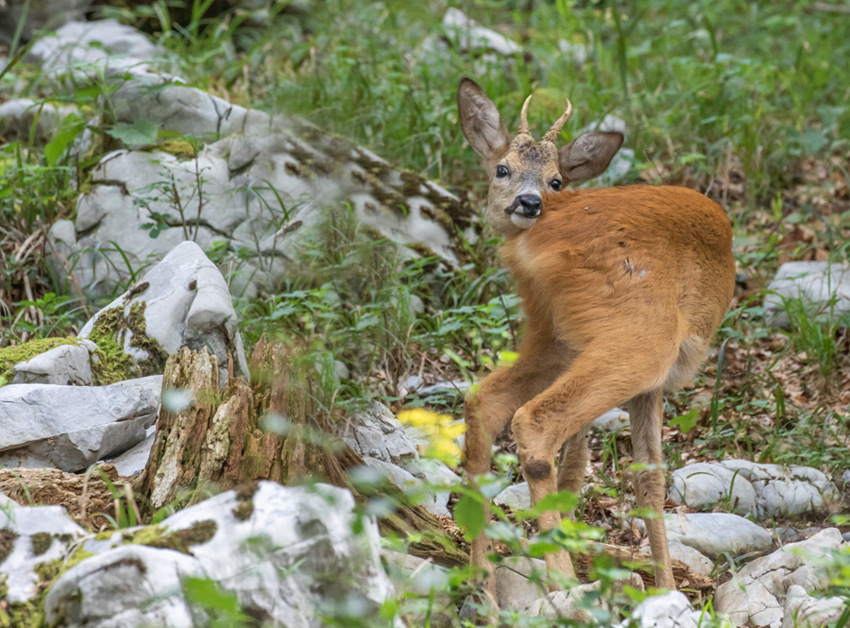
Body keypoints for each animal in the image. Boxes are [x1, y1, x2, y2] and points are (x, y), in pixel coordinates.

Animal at [458, 78, 736, 600]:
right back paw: (565, 590)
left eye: (556, 179)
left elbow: (642, 479)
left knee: (483, 399)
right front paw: (666, 590)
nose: (528, 203)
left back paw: (485, 589)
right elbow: (645, 478)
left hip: (554, 334)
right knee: (535, 422)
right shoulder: (649, 377)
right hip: (638, 338)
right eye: (501, 168)